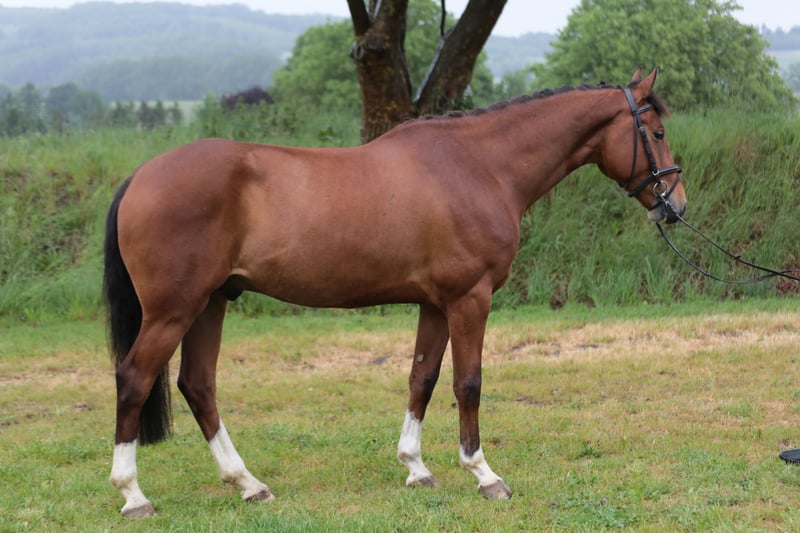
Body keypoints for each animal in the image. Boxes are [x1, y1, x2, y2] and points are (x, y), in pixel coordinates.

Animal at [104, 68, 686, 517]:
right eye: (655, 131)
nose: (675, 205)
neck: (478, 166)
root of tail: (140, 176)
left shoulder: (434, 304)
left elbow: (421, 379)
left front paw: (416, 467)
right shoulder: (470, 299)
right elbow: (468, 383)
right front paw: (483, 474)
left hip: (210, 304)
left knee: (198, 385)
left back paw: (248, 484)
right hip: (174, 310)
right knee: (134, 379)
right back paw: (133, 496)